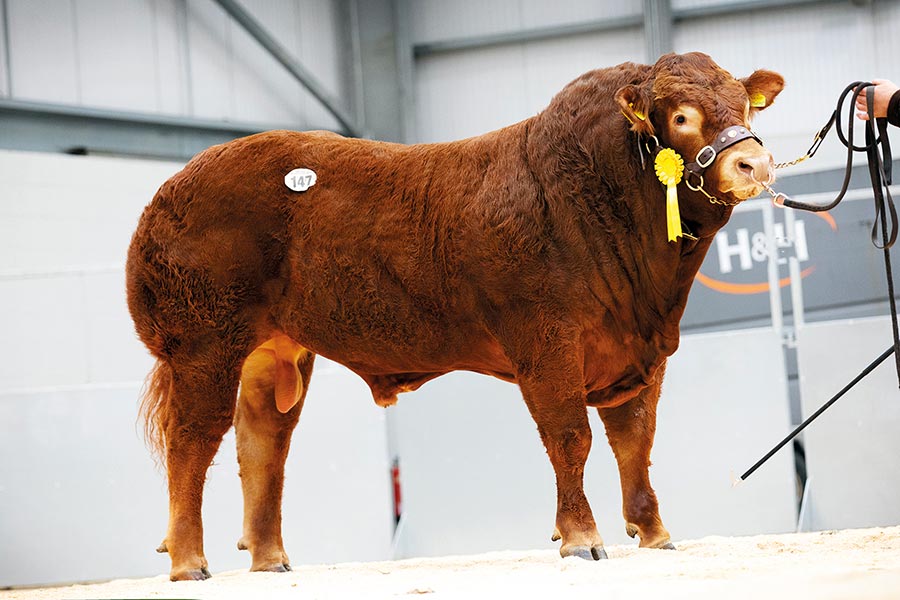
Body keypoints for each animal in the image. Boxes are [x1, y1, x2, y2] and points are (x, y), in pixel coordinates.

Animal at [125, 52, 780, 580]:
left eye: (745, 106)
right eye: (682, 117)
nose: (755, 163)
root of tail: (174, 185)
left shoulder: (637, 351)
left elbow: (635, 442)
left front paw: (654, 533)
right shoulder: (546, 343)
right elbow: (571, 438)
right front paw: (581, 538)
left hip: (274, 351)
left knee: (262, 444)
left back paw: (270, 560)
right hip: (205, 345)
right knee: (193, 441)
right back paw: (189, 562)